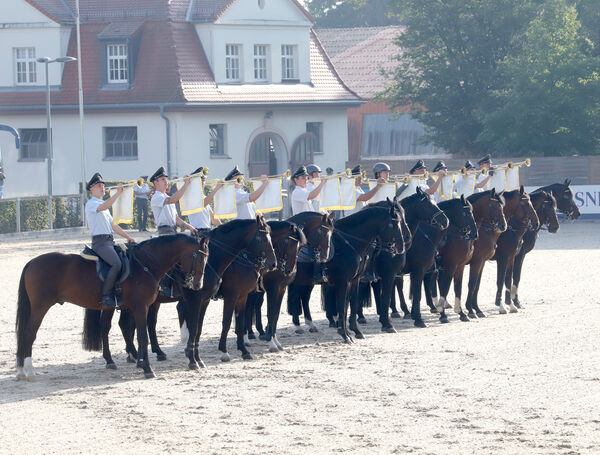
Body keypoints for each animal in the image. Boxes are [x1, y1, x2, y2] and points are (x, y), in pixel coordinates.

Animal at [15, 235, 207, 382]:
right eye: (199, 258)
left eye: (206, 258)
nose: (198, 285)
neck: (144, 265)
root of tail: (32, 262)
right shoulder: (141, 307)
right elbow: (143, 335)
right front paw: (147, 368)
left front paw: (139, 362)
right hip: (40, 307)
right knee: (28, 334)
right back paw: (30, 371)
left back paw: (21, 370)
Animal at [245, 213, 332, 352]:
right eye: (322, 232)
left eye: (300, 246)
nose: (325, 256)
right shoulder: (274, 288)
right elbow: (273, 312)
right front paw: (272, 342)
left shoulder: (283, 287)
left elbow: (276, 314)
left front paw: (275, 340)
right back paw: (248, 337)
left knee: (253, 306)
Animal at [424, 196, 480, 324]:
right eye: (465, 213)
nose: (475, 234)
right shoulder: (450, 266)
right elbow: (445, 287)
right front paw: (443, 313)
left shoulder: (460, 266)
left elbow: (457, 287)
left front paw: (461, 313)